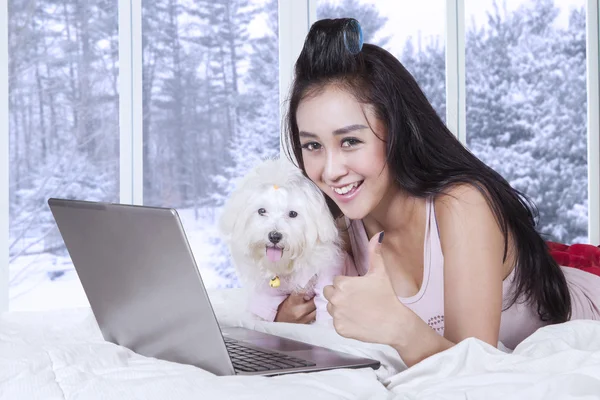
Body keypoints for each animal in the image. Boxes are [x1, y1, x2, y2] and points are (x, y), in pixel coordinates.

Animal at [218, 156, 356, 322]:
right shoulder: (266, 292)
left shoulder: (327, 277)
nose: (274, 236)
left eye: (293, 214)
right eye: (261, 211)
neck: (287, 267)